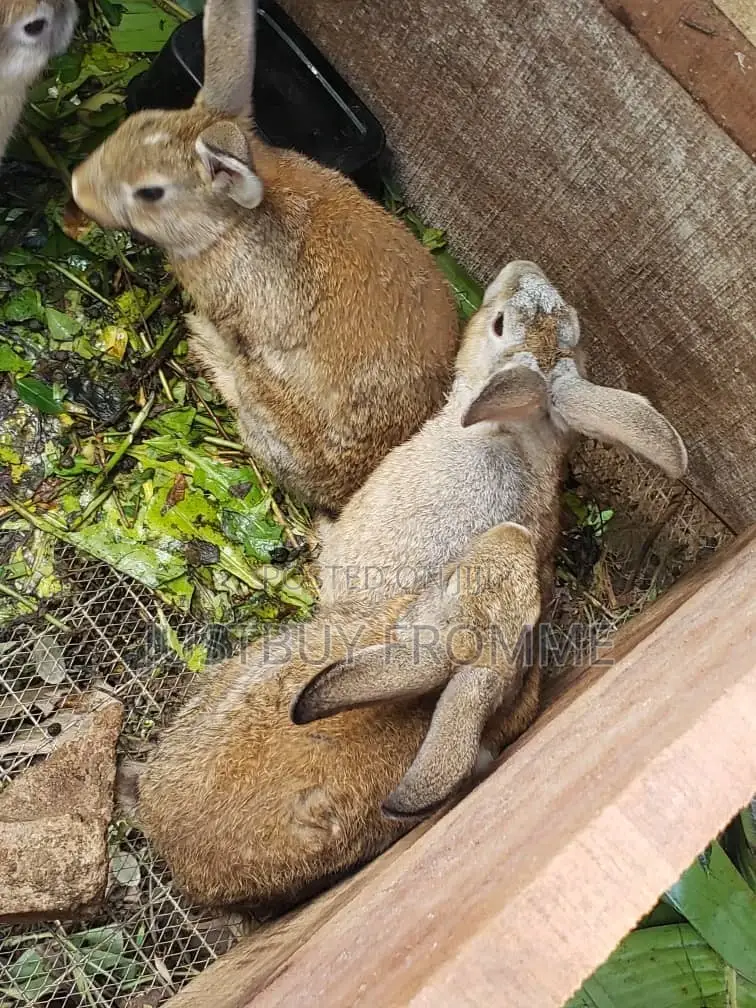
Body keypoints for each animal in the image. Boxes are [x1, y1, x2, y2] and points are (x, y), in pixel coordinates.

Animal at [69, 0, 460, 516]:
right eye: (137, 124)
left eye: (150, 192)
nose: (78, 189)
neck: (226, 223)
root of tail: (348, 487)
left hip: (266, 396)